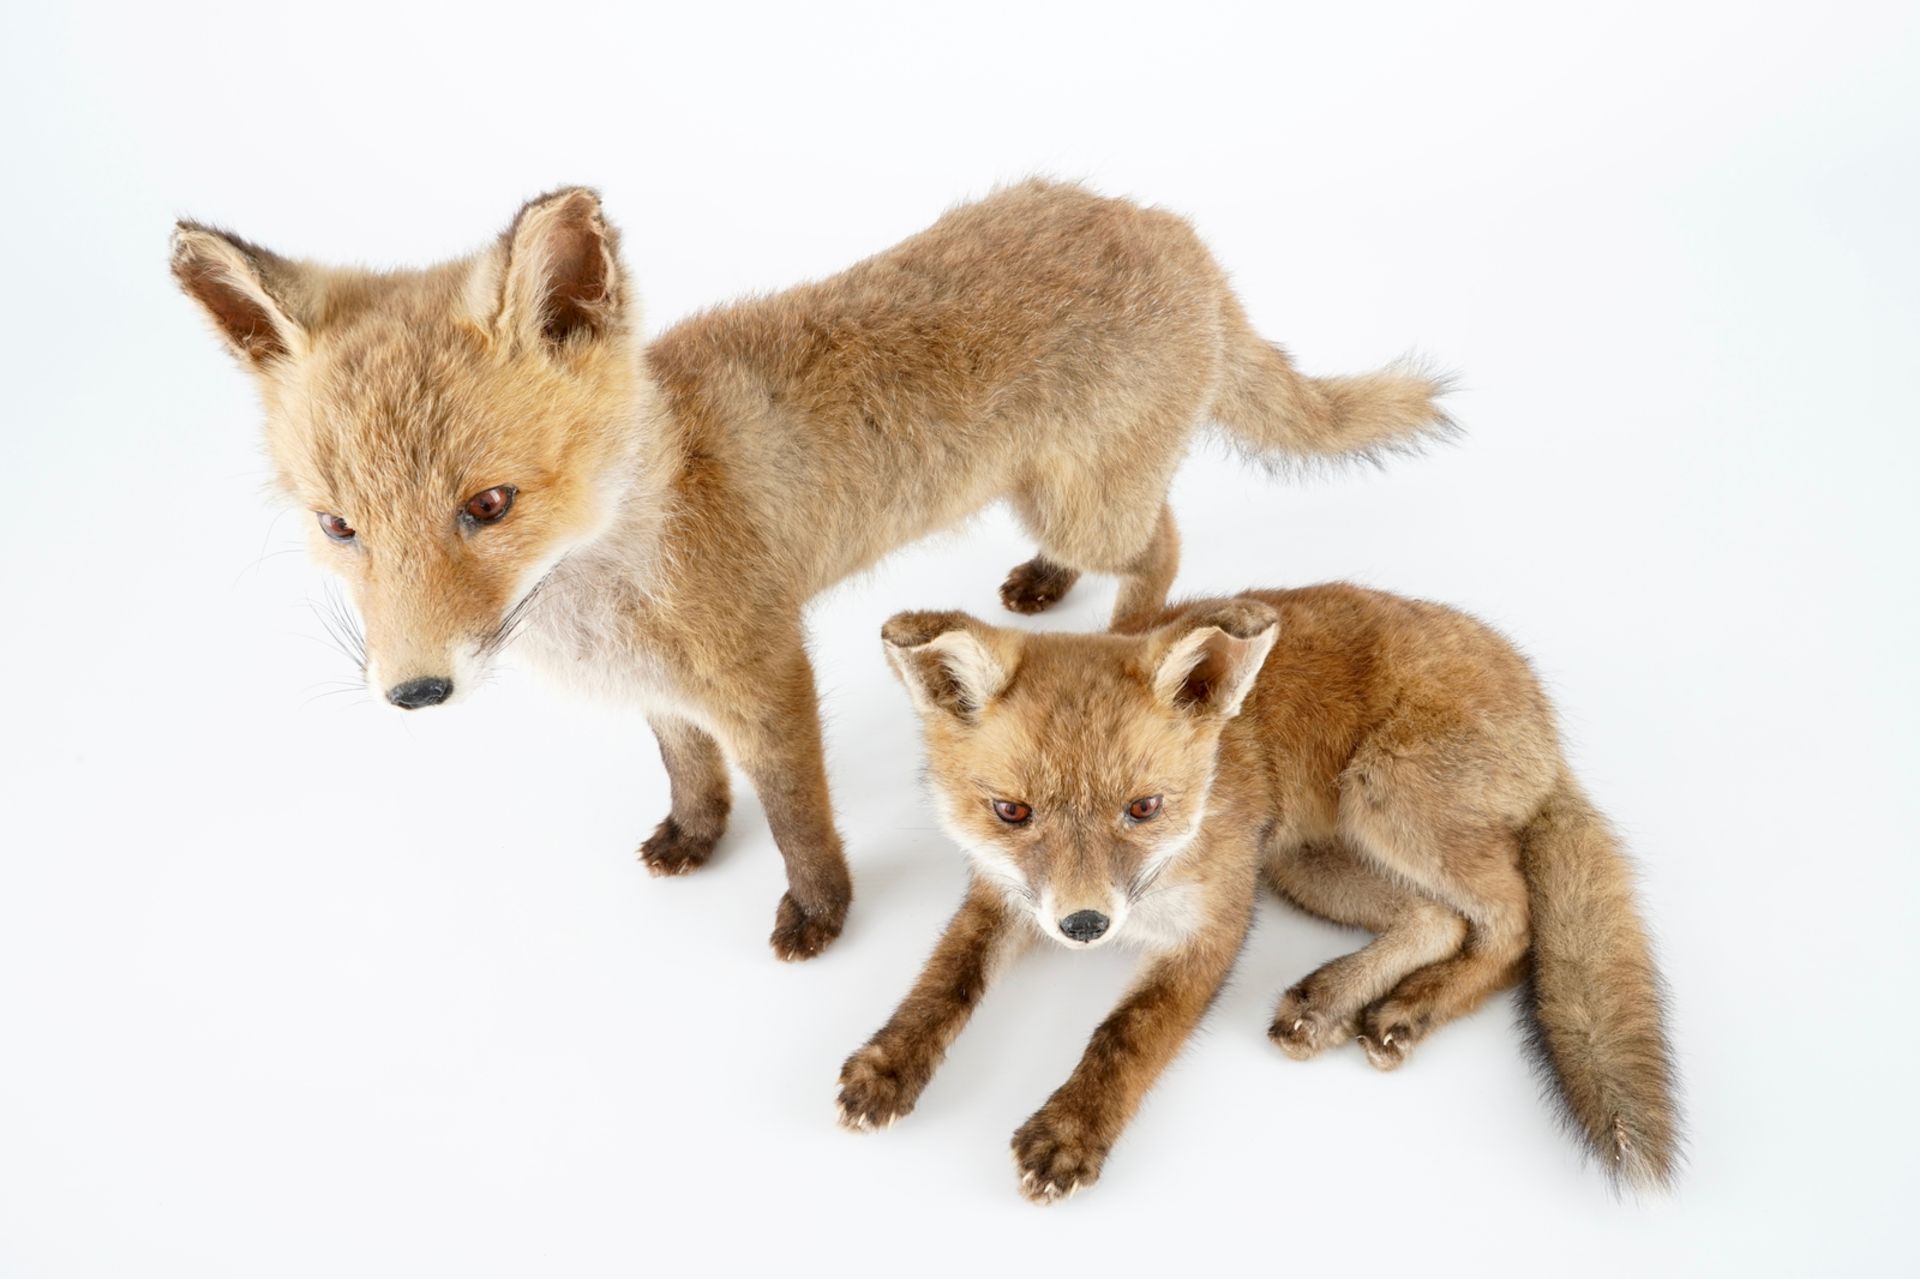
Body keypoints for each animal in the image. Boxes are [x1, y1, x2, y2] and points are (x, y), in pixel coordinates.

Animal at [172, 179, 1443, 956]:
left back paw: (1141, 630)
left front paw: (818, 913)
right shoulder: (665, 690)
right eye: (339, 527)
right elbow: (693, 774)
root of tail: (1167, 224)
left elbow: (797, 816)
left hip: (1086, 505)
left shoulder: (767, 669)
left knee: (1163, 542)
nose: (415, 691)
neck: (613, 571)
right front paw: (693, 838)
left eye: (487, 506)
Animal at [844, 583, 1681, 1198]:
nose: (1085, 926)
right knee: (1437, 918)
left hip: (1386, 803)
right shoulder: (1008, 892)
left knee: (1514, 921)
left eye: (1143, 808)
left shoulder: (1216, 921)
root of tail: (1545, 718)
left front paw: (1072, 1130)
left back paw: (1412, 1009)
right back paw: (1332, 1000)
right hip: (1305, 862)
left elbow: (1126, 1034)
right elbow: (946, 980)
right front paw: (890, 1063)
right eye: (1012, 812)